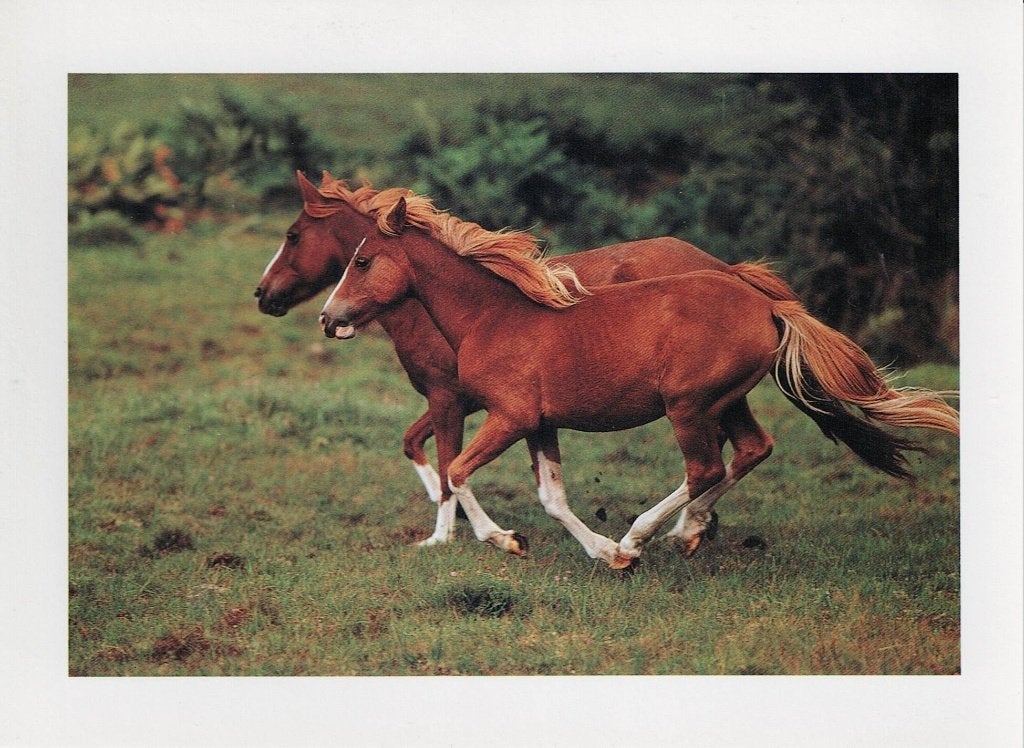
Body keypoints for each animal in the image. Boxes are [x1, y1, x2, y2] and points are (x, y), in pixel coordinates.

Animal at [319, 194, 960, 568]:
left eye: (362, 260)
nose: (329, 317)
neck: (494, 314)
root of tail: (770, 307)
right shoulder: (539, 424)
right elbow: (552, 496)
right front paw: (602, 553)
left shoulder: (509, 417)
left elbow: (456, 471)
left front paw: (511, 540)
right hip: (725, 401)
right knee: (750, 451)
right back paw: (682, 533)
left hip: (688, 405)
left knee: (705, 467)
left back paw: (643, 536)